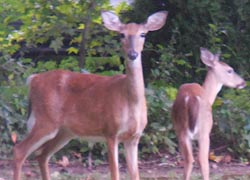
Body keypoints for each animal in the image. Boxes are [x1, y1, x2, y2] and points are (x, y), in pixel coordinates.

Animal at [12, 10, 168, 180]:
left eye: (143, 34)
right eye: (122, 34)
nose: (132, 54)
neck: (131, 100)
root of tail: (33, 79)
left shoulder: (134, 137)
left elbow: (135, 174)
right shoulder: (110, 131)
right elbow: (115, 173)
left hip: (65, 131)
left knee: (42, 155)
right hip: (46, 120)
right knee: (19, 151)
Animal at [172, 47, 246, 180]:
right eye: (230, 70)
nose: (243, 82)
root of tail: (191, 99)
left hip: (181, 131)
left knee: (189, 160)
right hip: (204, 131)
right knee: (202, 160)